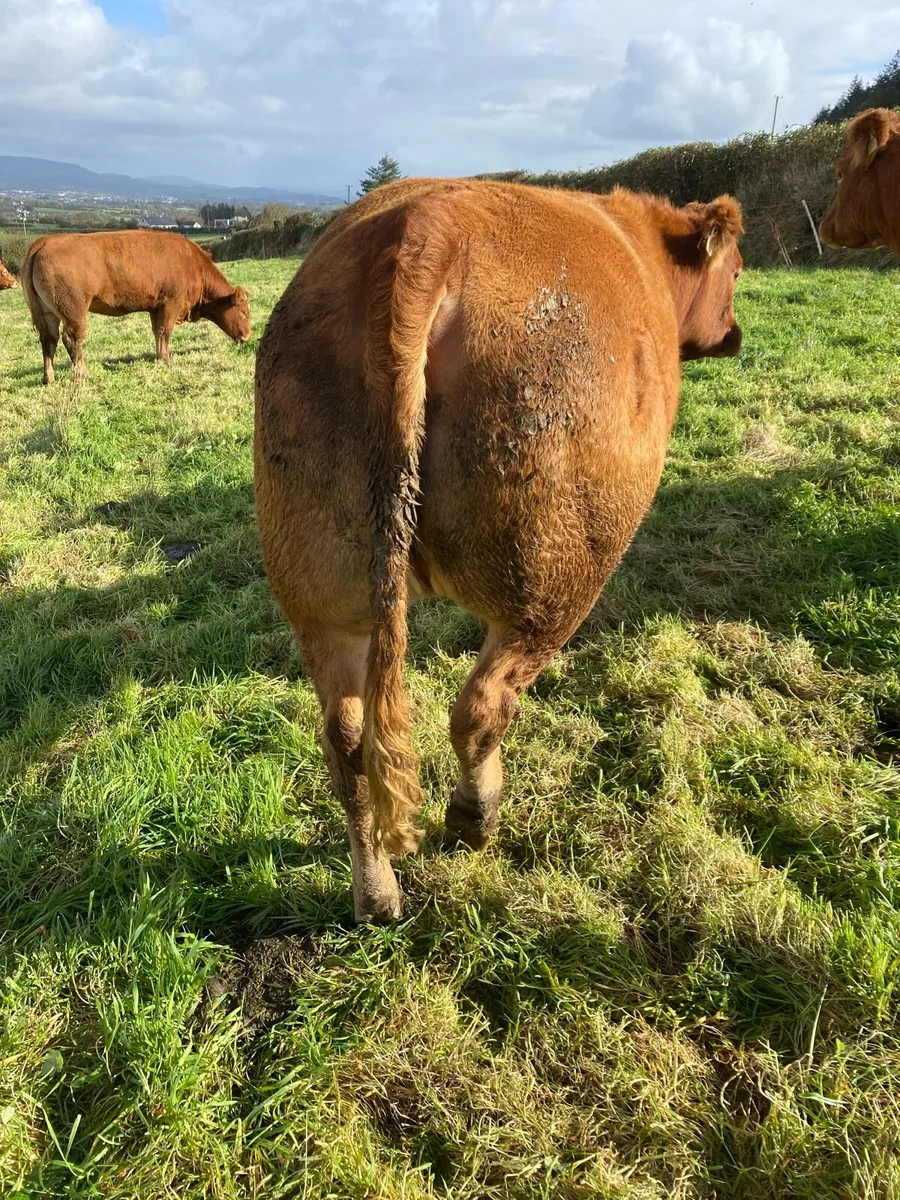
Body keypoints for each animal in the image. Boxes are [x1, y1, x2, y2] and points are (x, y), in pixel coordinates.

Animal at [20, 229, 250, 384]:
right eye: (244, 312)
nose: (248, 336)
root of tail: (45, 241)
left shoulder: (156, 308)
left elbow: (157, 332)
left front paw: (158, 357)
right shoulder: (172, 303)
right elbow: (165, 331)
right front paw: (166, 360)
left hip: (48, 312)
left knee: (49, 340)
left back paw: (48, 378)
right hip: (74, 311)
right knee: (71, 339)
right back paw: (83, 374)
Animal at [255, 176, 743, 921]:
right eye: (737, 272)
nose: (736, 333)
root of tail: (428, 230)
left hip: (321, 594)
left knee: (348, 741)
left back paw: (376, 895)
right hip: (551, 580)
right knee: (481, 708)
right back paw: (474, 816)